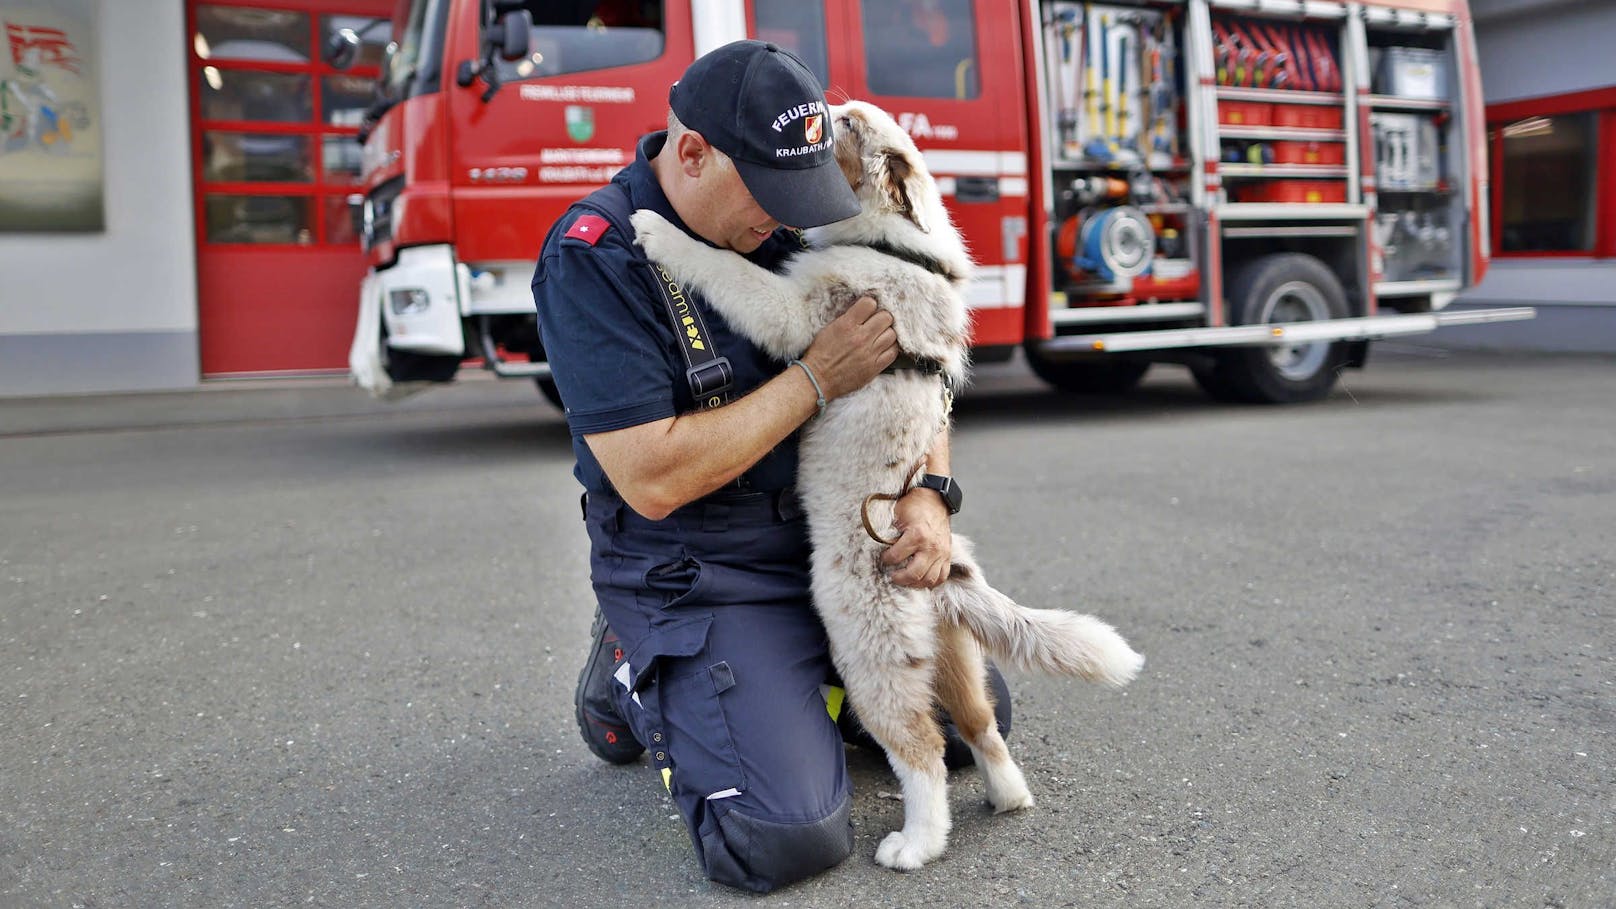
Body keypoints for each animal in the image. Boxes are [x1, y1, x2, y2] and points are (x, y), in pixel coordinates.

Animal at [623, 100, 1144, 873]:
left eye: (841, 126)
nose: (828, 111)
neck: (898, 244)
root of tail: (943, 578)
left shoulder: (801, 310)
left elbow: (728, 271)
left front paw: (658, 229)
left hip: (871, 657)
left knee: (922, 750)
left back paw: (915, 845)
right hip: (954, 652)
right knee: (981, 725)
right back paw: (1009, 797)